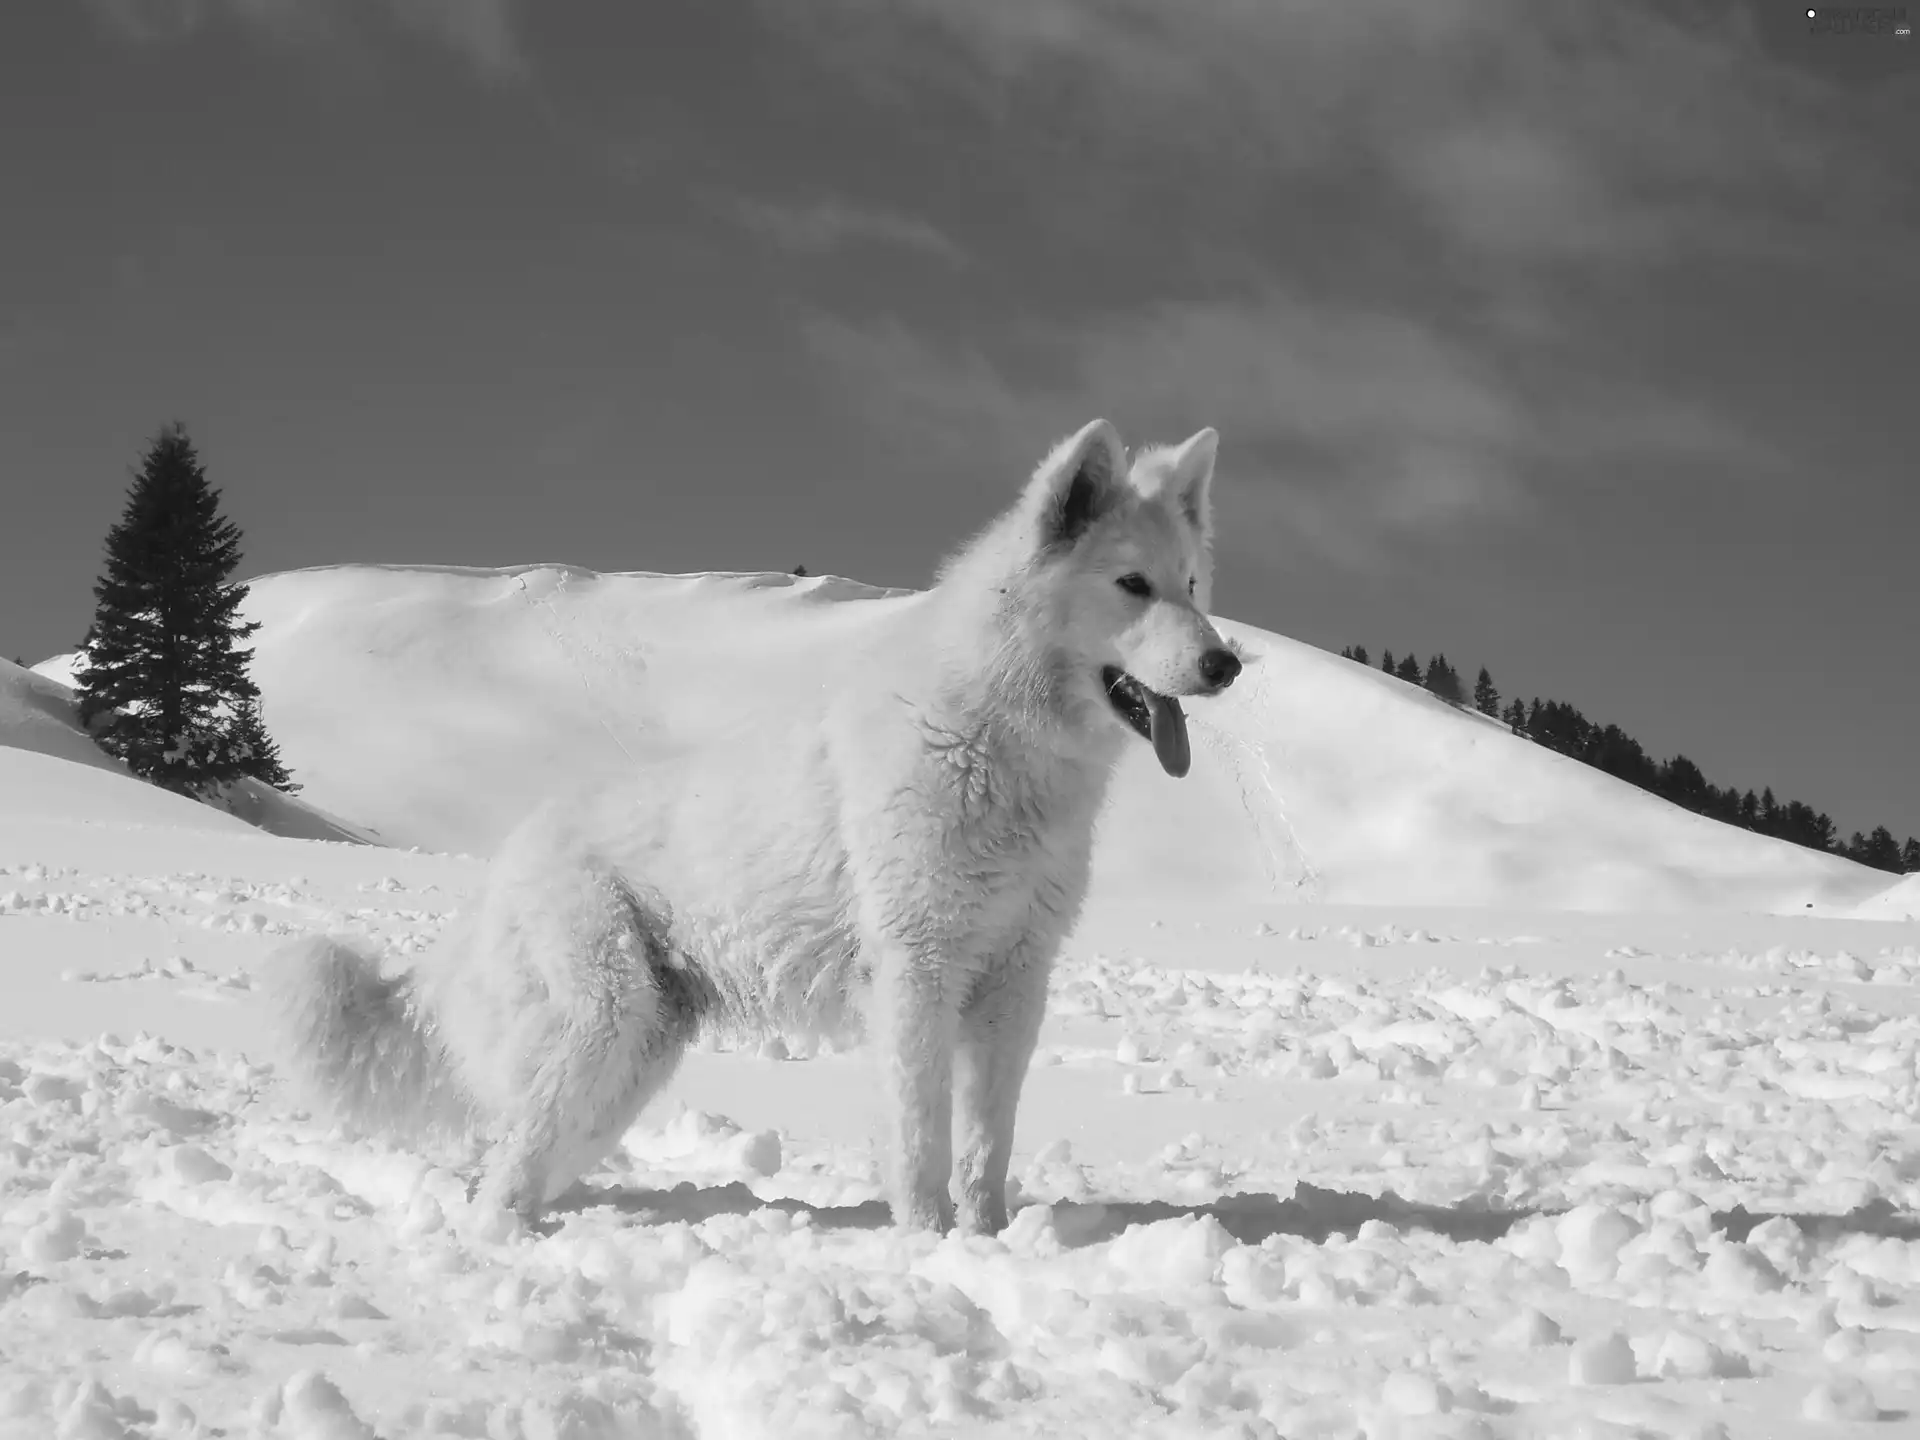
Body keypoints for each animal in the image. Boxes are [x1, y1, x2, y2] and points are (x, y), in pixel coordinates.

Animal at [259, 422, 1244, 1236]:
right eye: (1132, 584)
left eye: (1193, 585)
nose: (1227, 664)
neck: (994, 740)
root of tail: (509, 859)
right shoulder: (917, 976)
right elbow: (920, 1140)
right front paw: (930, 1246)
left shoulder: (1015, 986)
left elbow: (983, 1148)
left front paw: (990, 1242)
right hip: (602, 1028)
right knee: (504, 1175)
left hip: (630, 1061)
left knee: (523, 1161)